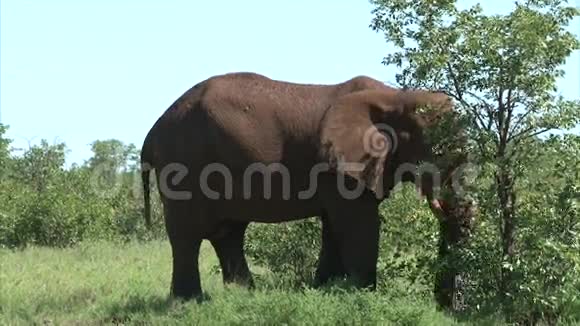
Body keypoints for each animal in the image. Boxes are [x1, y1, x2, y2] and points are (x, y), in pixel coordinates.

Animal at [142, 72, 476, 300]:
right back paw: (189, 302)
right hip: (184, 162)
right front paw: (362, 295)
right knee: (187, 234)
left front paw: (326, 290)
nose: (443, 305)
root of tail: (153, 130)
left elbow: (334, 225)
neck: (397, 97)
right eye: (437, 149)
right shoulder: (338, 164)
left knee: (229, 233)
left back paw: (244, 294)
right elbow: (359, 224)